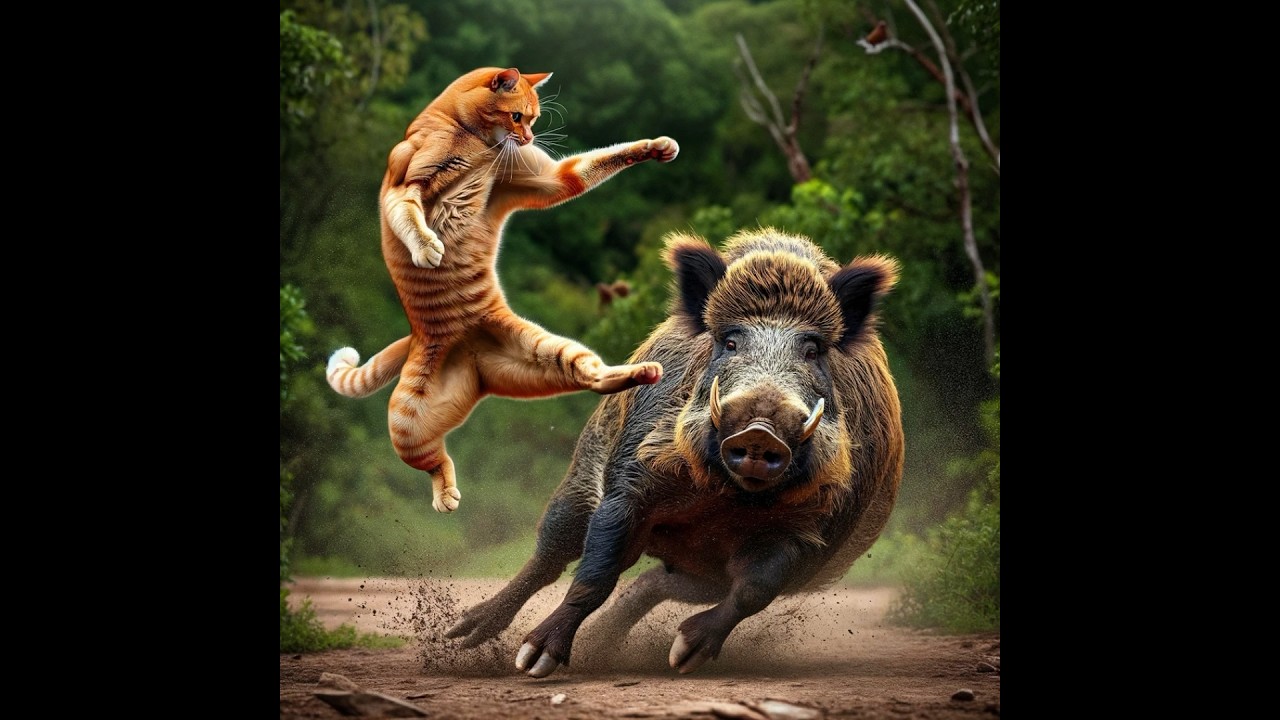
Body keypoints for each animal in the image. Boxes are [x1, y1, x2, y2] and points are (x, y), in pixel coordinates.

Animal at [444, 227, 904, 677]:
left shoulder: (811, 532)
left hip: (703, 576)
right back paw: (463, 634)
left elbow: (754, 591)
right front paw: (533, 663)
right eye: (730, 342)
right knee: (551, 554)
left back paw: (603, 647)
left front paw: (683, 656)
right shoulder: (629, 483)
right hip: (583, 474)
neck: (728, 496)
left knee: (654, 584)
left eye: (812, 350)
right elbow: (594, 576)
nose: (760, 429)